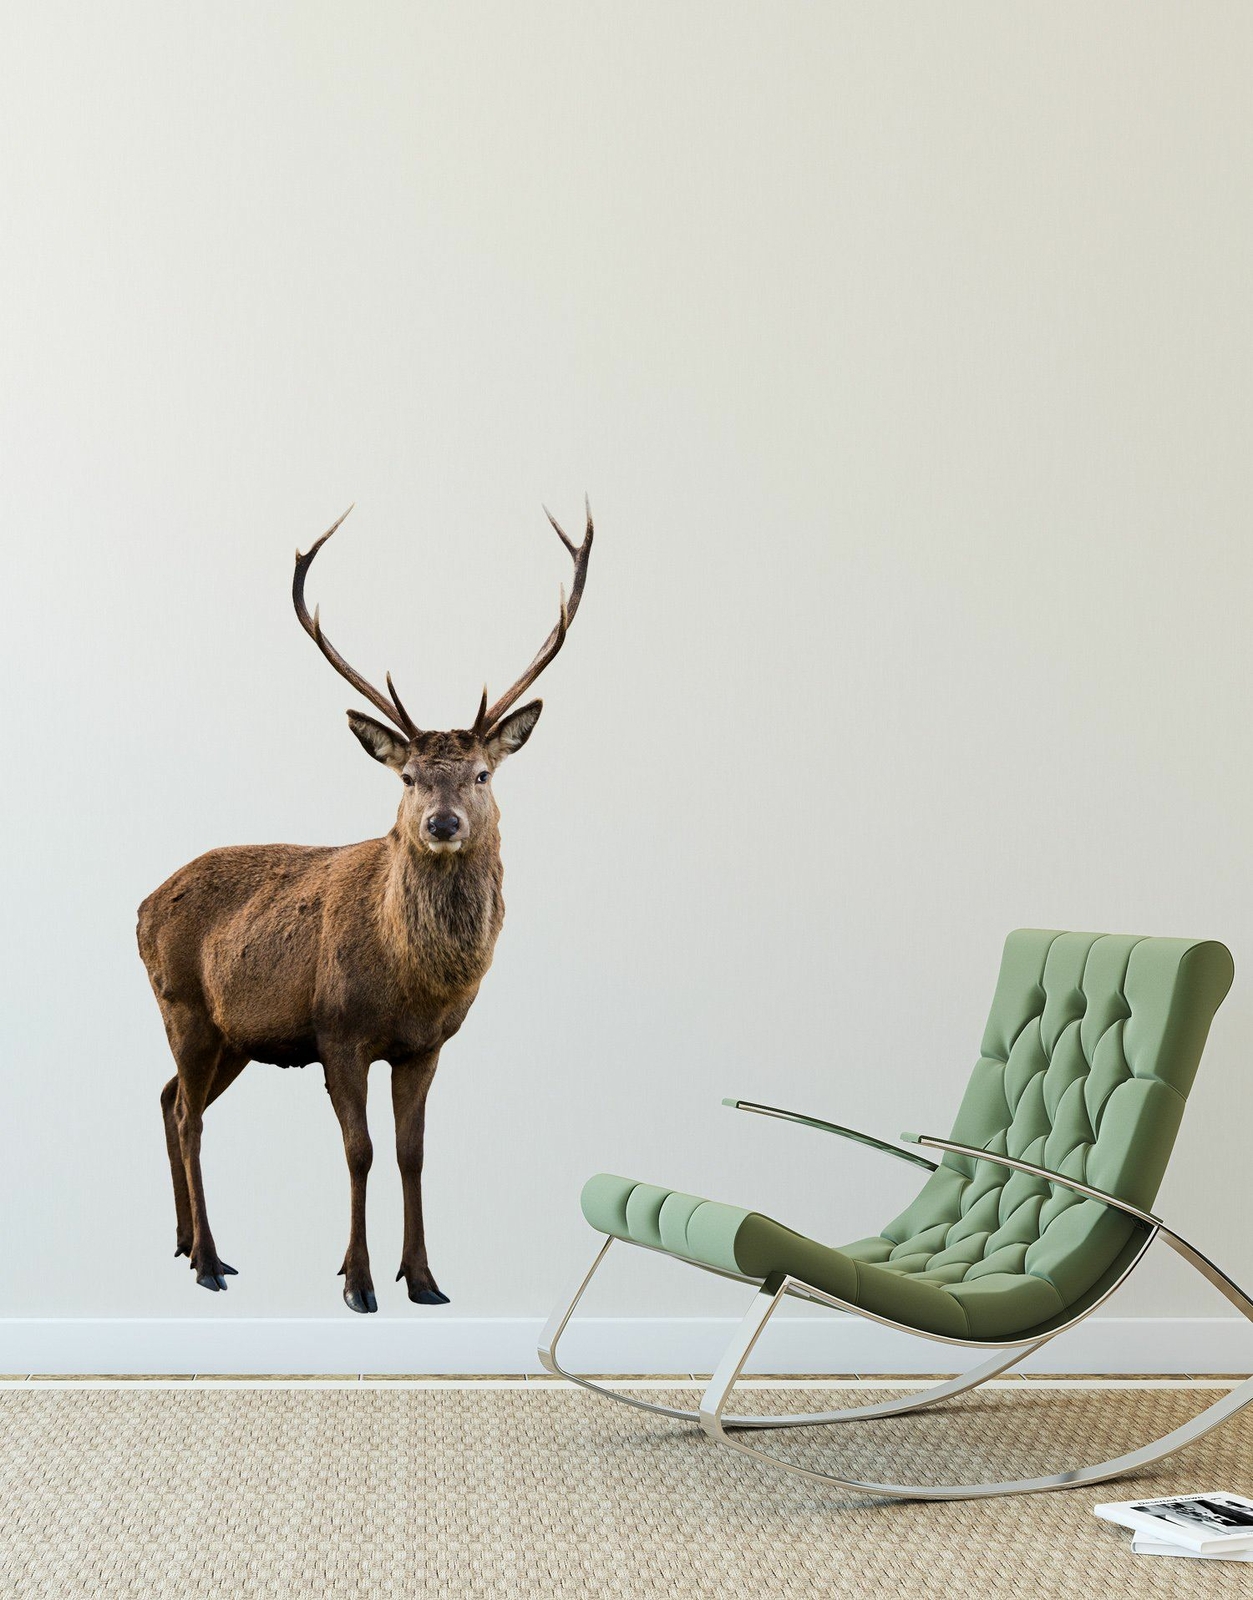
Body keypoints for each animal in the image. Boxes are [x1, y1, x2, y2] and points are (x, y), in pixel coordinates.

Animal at [137, 502, 594, 1312]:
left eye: (481, 773)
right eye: (408, 777)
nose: (441, 823)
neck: (411, 982)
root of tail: (138, 907)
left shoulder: (426, 1046)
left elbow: (412, 1153)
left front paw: (425, 1279)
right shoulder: (337, 1031)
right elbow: (360, 1151)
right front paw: (357, 1280)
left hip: (233, 1036)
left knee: (167, 1100)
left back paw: (186, 1242)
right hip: (182, 1006)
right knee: (189, 1115)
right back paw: (210, 1262)